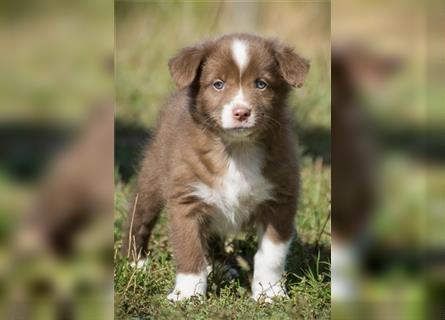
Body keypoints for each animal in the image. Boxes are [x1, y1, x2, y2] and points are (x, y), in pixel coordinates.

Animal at [121, 33, 308, 302]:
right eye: (218, 84)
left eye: (261, 84)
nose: (241, 112)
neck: (237, 150)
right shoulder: (186, 199)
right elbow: (189, 250)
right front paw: (187, 295)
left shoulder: (280, 201)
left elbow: (271, 256)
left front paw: (269, 293)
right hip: (153, 176)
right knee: (140, 217)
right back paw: (136, 262)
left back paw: (218, 266)